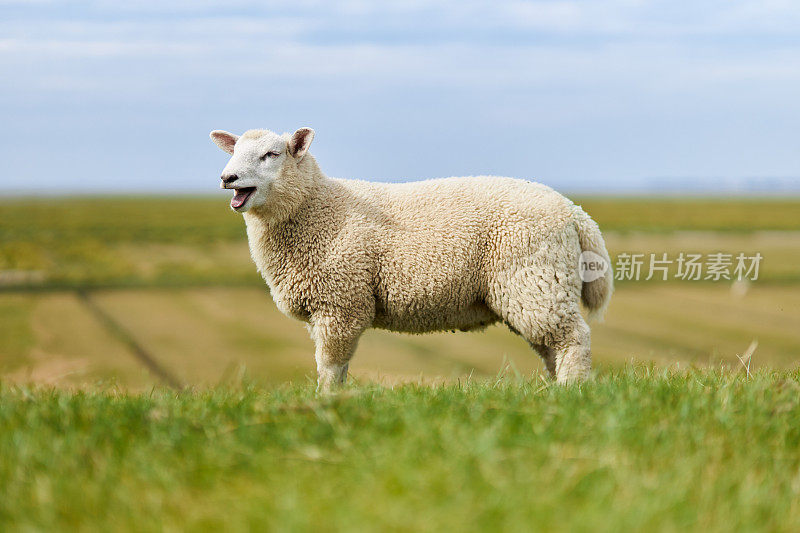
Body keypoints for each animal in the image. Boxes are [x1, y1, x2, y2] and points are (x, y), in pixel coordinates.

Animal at [211, 127, 612, 388]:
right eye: (233, 153)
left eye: (271, 154)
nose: (227, 177)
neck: (317, 207)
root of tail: (574, 211)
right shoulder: (324, 310)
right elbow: (337, 368)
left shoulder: (341, 303)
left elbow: (330, 367)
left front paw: (326, 405)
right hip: (538, 289)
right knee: (551, 348)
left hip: (534, 279)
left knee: (574, 340)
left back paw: (571, 392)